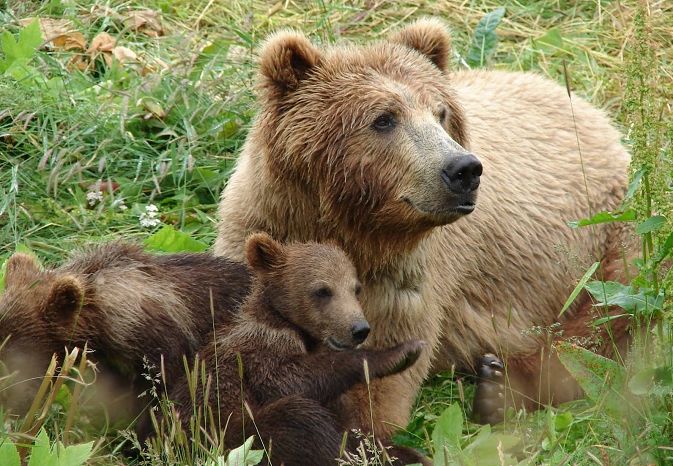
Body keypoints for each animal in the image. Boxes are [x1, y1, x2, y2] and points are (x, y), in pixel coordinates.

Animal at [163, 233, 428, 466]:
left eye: (356, 288)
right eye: (323, 290)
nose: (359, 329)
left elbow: (352, 426)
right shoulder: (259, 351)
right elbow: (289, 381)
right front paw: (401, 352)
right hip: (229, 439)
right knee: (298, 418)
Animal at [213, 17, 632, 434]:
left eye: (441, 113)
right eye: (384, 119)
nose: (464, 169)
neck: (352, 229)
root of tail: (587, 107)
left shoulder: (404, 282)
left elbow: (380, 384)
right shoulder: (261, 233)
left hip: (606, 232)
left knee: (604, 323)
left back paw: (499, 389)